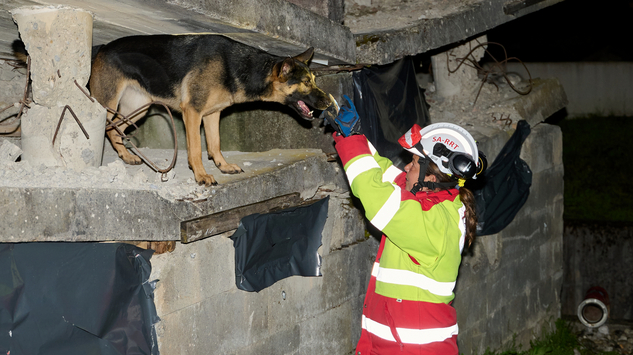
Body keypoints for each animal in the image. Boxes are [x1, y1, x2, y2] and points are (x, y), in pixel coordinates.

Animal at [90, 34, 334, 186]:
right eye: (306, 83)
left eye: (314, 79)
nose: (329, 102)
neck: (239, 66)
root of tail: (102, 47)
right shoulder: (192, 112)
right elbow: (196, 149)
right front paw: (200, 175)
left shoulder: (211, 115)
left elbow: (215, 143)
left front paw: (222, 166)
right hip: (108, 105)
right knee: (108, 128)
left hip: (138, 108)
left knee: (114, 129)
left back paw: (126, 156)